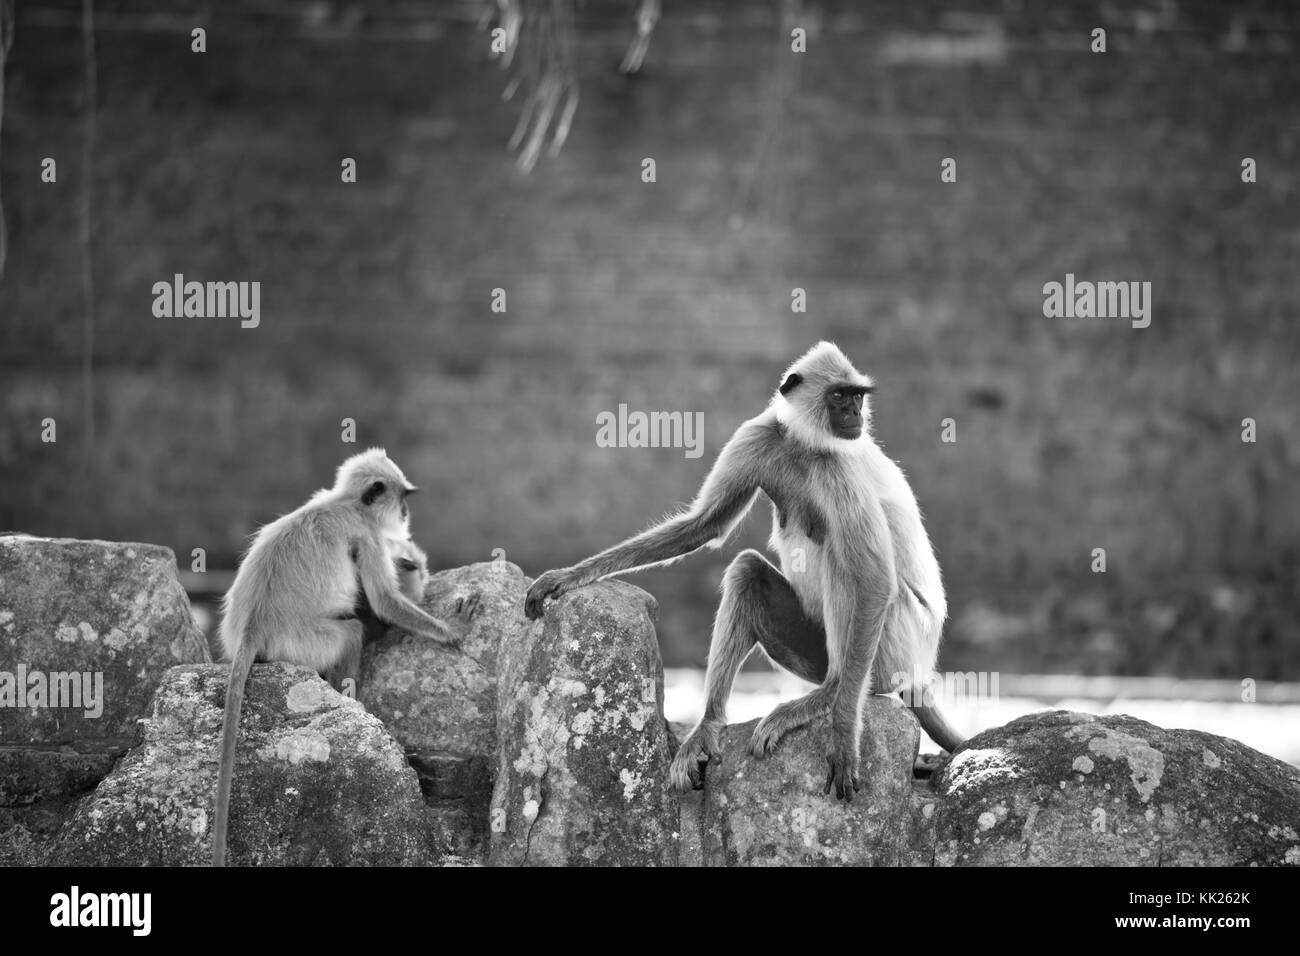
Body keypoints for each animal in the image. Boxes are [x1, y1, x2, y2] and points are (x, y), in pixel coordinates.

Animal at [213, 448, 477, 866]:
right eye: (402, 498)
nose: (405, 513)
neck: (343, 503)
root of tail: (251, 629)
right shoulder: (367, 533)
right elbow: (385, 601)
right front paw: (454, 630)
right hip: (305, 642)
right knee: (352, 632)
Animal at [525, 342, 964, 802]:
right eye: (840, 397)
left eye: (857, 397)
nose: (855, 416)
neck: (803, 446)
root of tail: (920, 671)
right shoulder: (758, 435)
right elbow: (704, 525)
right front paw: (565, 577)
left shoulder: (839, 466)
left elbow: (875, 579)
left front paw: (844, 735)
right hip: (815, 649)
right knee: (747, 570)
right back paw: (709, 724)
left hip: (891, 650)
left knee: (843, 562)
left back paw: (829, 694)